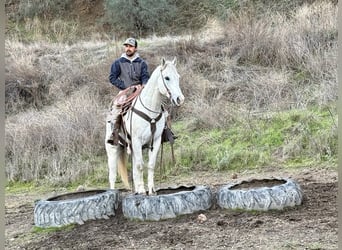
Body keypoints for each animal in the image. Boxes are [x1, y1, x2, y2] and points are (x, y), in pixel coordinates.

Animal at [105, 58, 184, 195]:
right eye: (167, 77)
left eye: (178, 77)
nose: (180, 99)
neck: (149, 110)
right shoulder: (136, 141)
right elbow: (140, 165)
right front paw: (142, 190)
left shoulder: (155, 141)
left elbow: (150, 165)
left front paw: (151, 190)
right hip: (113, 149)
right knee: (113, 174)